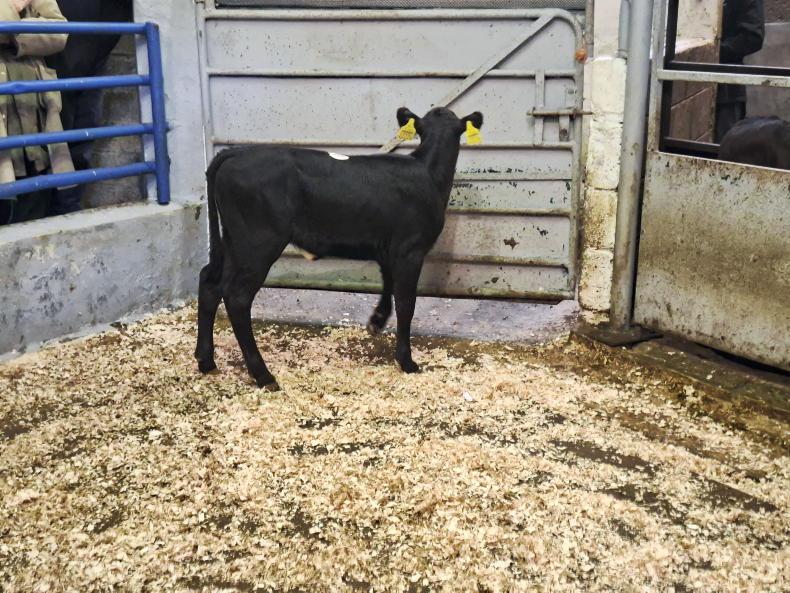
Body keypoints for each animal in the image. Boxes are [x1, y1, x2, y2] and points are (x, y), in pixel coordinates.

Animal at [195, 106, 484, 391]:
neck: (428, 173)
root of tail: (237, 152)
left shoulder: (388, 247)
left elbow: (388, 284)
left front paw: (377, 321)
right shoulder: (410, 250)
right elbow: (406, 303)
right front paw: (407, 361)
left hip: (233, 242)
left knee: (210, 283)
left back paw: (206, 360)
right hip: (257, 243)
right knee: (237, 297)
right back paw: (263, 375)